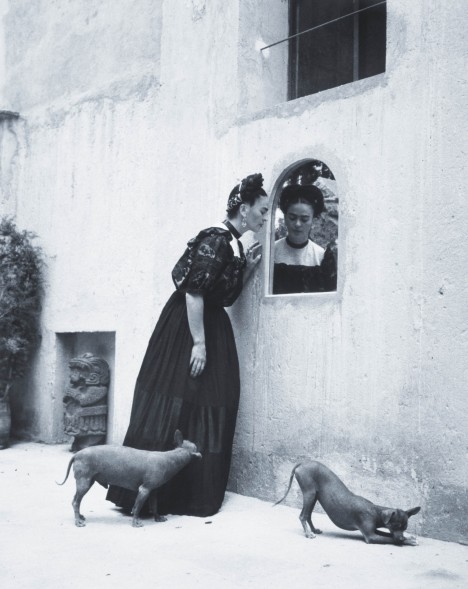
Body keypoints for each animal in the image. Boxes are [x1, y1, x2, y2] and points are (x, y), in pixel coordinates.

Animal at [56, 428, 201, 528]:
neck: (171, 457)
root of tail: (77, 454)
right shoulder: (144, 490)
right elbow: (137, 508)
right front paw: (136, 522)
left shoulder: (153, 491)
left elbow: (154, 506)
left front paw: (157, 517)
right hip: (84, 483)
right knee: (75, 502)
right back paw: (77, 521)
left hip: (89, 481)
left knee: (77, 501)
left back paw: (80, 516)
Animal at [274, 460, 420, 548]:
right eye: (395, 525)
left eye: (405, 527)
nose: (401, 538)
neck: (375, 511)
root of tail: (302, 463)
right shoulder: (371, 536)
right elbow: (390, 538)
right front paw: (408, 540)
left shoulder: (375, 530)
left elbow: (388, 535)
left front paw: (407, 538)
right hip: (309, 493)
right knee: (303, 516)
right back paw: (308, 534)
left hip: (314, 495)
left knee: (308, 515)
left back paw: (313, 530)